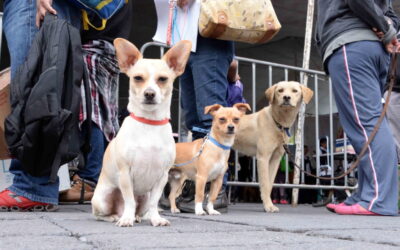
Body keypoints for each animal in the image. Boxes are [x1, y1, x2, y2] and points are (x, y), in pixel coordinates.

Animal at [233, 81, 314, 213]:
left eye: (295, 91)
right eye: (280, 90)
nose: (286, 97)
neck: (278, 123)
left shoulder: (275, 159)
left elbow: (270, 184)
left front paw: (268, 204)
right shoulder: (263, 158)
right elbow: (265, 184)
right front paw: (268, 206)